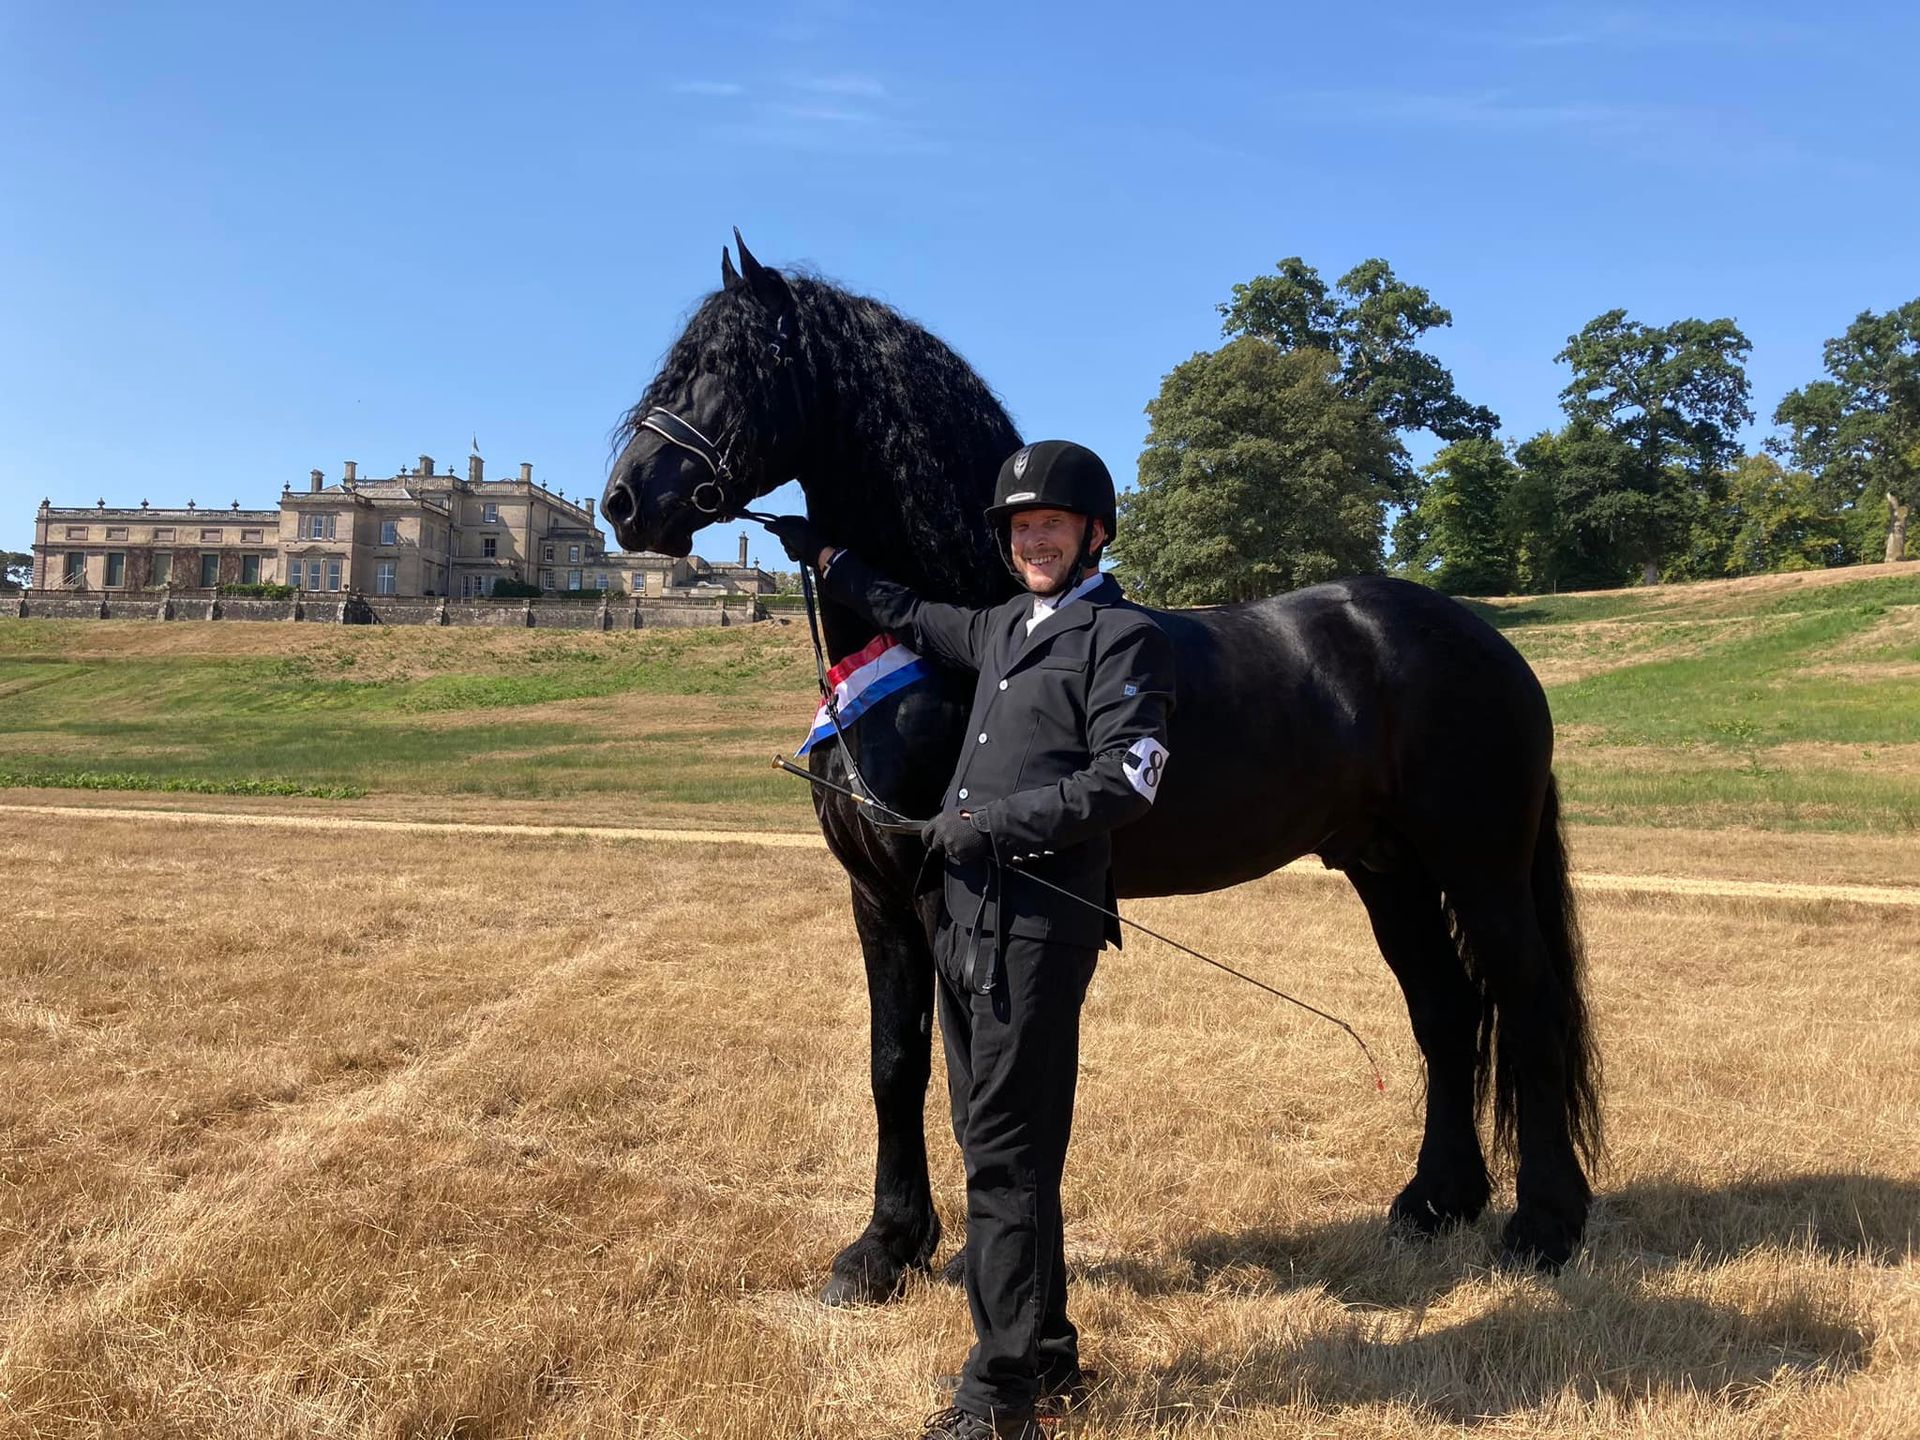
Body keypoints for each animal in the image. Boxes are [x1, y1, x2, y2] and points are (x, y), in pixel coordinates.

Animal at [601, 234, 1601, 1305]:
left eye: (726, 367)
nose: (624, 501)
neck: (960, 637)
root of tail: (1484, 643)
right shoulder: (876, 897)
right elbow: (895, 1061)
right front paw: (883, 1250)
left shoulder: (945, 892)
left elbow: (970, 1076)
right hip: (1391, 870)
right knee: (1446, 1012)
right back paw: (1435, 1203)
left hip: (1481, 869)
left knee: (1529, 1009)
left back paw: (1543, 1226)